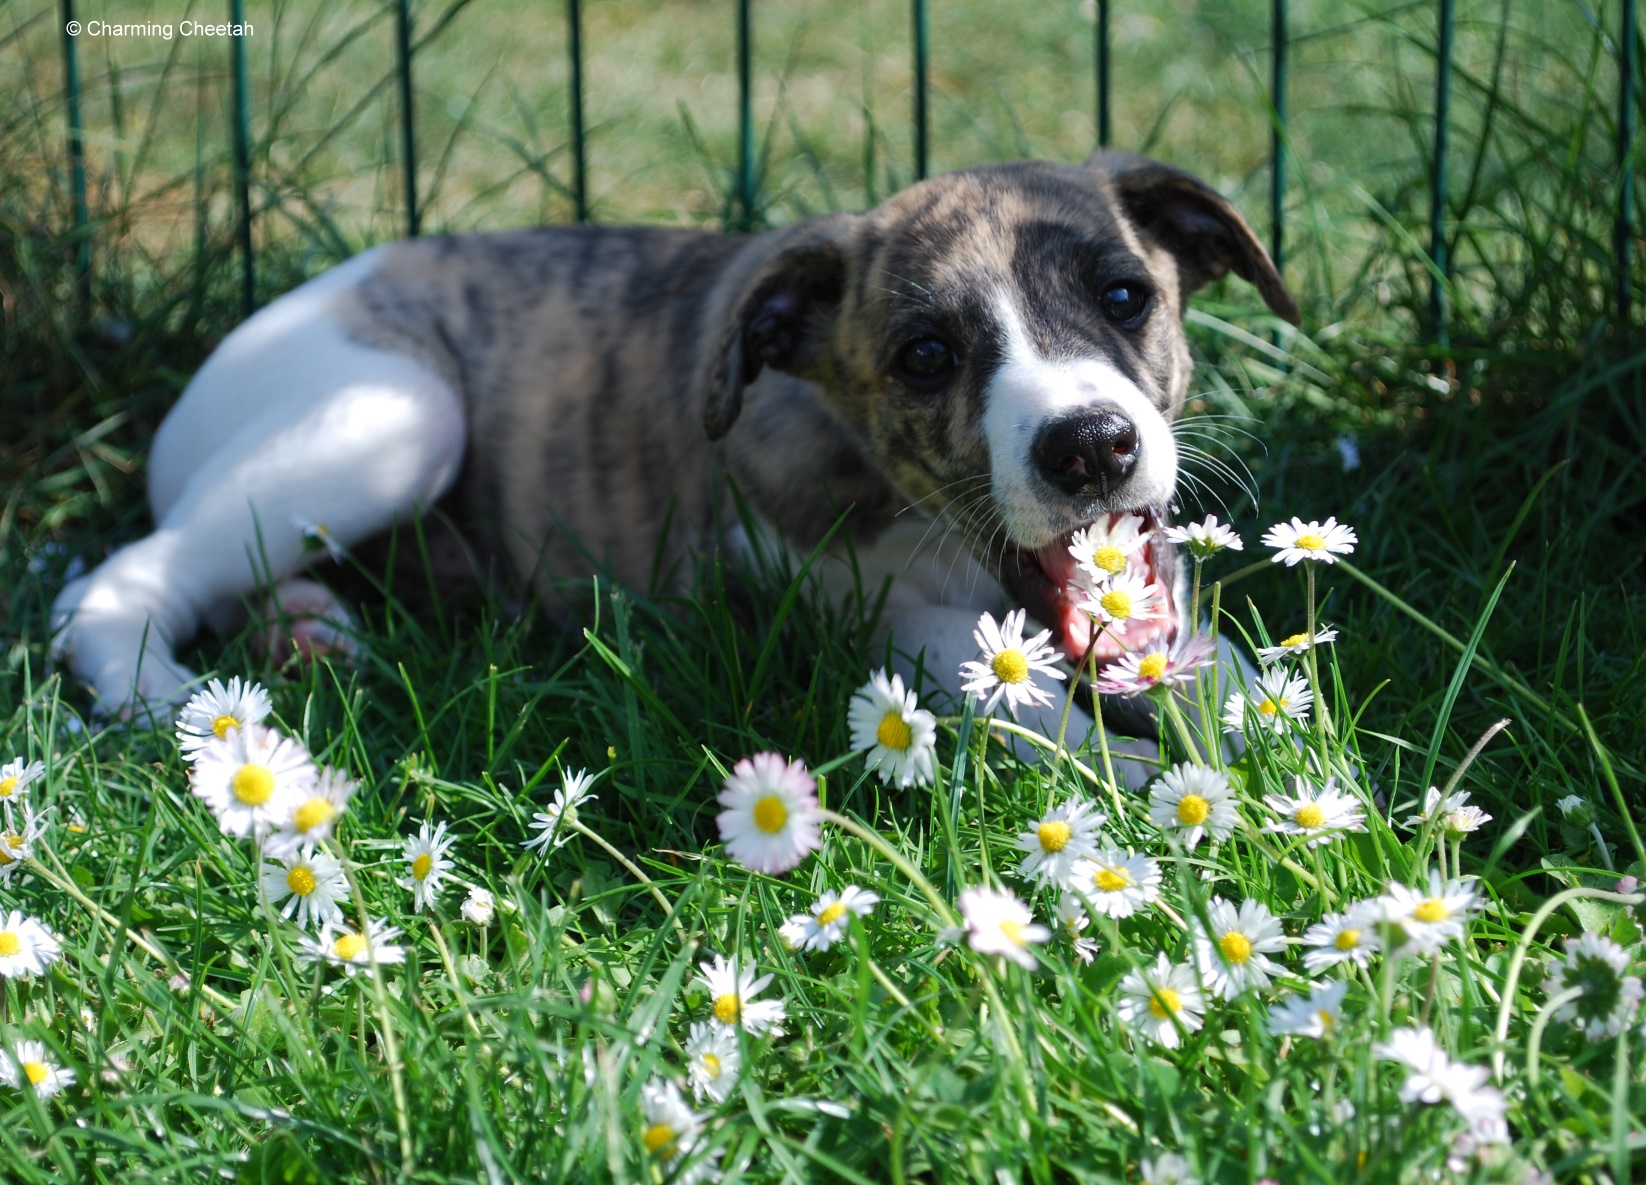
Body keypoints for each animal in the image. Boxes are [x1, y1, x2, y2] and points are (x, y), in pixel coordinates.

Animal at [51, 150, 1290, 766]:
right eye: (925, 357)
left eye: (1124, 297)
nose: (1089, 447)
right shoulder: (829, 609)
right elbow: (998, 684)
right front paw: (1152, 790)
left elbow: (1221, 668)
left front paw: (1282, 756)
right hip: (397, 411)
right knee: (116, 579)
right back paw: (173, 702)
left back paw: (309, 627)